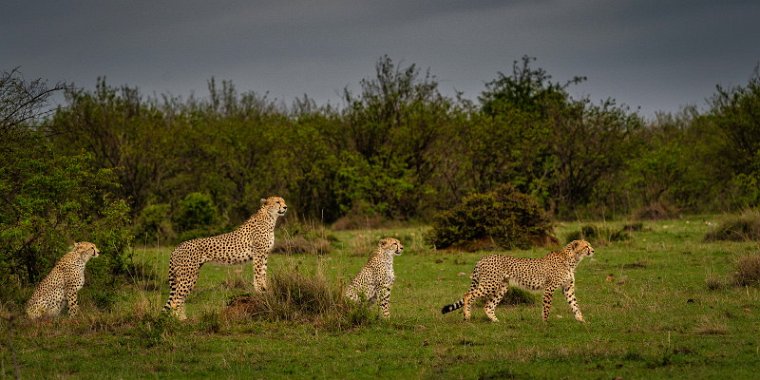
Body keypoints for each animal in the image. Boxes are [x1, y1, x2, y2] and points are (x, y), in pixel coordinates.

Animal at [440, 239, 592, 322]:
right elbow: (547, 307)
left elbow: (574, 304)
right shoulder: (549, 287)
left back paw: (496, 321)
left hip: (502, 287)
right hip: (490, 284)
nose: (593, 250)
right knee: (468, 295)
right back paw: (467, 315)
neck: (572, 260)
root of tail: (482, 258)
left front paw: (581, 320)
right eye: (586, 246)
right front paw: (545, 322)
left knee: (488, 306)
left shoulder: (568, 288)